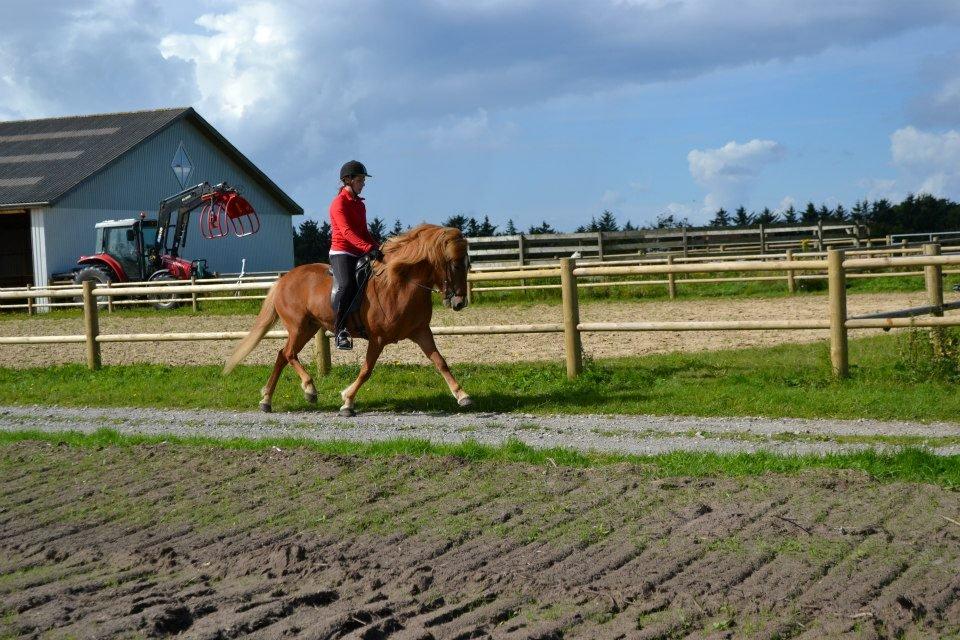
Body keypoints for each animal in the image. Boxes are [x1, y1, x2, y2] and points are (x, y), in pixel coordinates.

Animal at [221, 224, 468, 416]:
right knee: (289, 354)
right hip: (298, 327)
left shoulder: (421, 332)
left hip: (309, 328)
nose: (460, 303)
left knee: (283, 355)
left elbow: (440, 362)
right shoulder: (378, 339)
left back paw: (267, 400)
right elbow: (366, 370)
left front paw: (462, 395)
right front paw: (347, 401)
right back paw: (309, 390)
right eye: (455, 264)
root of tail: (284, 279)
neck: (400, 283)